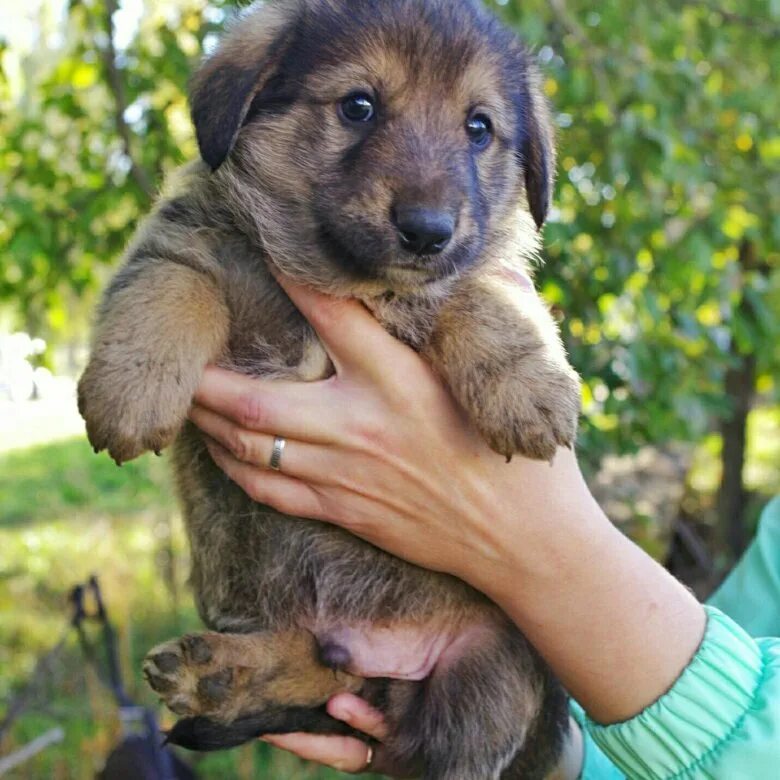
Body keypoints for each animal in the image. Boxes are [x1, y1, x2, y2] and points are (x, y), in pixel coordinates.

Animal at [79, 3, 580, 776]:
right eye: (358, 106)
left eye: (479, 127)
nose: (428, 232)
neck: (345, 278)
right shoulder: (194, 240)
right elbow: (168, 285)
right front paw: (129, 389)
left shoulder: (472, 272)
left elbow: (482, 294)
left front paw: (529, 388)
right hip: (244, 585)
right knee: (320, 660)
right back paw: (221, 673)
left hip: (490, 672)